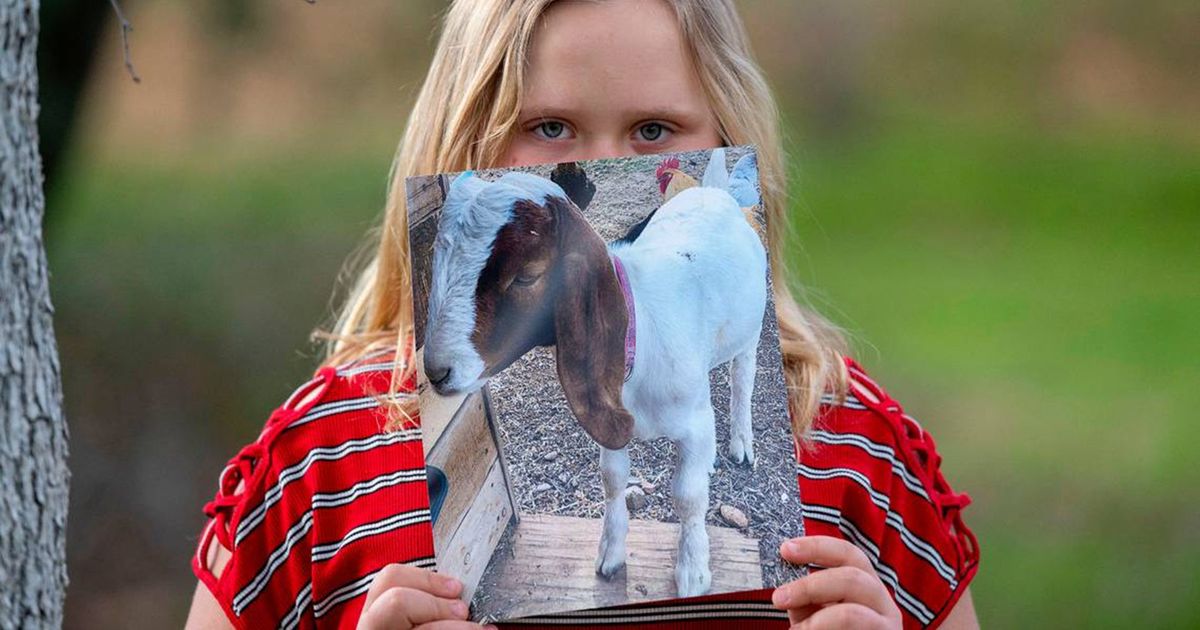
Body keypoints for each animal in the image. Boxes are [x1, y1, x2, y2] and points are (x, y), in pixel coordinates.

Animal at [422, 152, 768, 598]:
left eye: (526, 275)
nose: (437, 371)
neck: (640, 328)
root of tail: (714, 191)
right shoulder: (607, 412)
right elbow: (612, 479)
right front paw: (611, 554)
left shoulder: (692, 421)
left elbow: (688, 496)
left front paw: (693, 572)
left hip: (751, 331)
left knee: (743, 377)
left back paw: (741, 442)